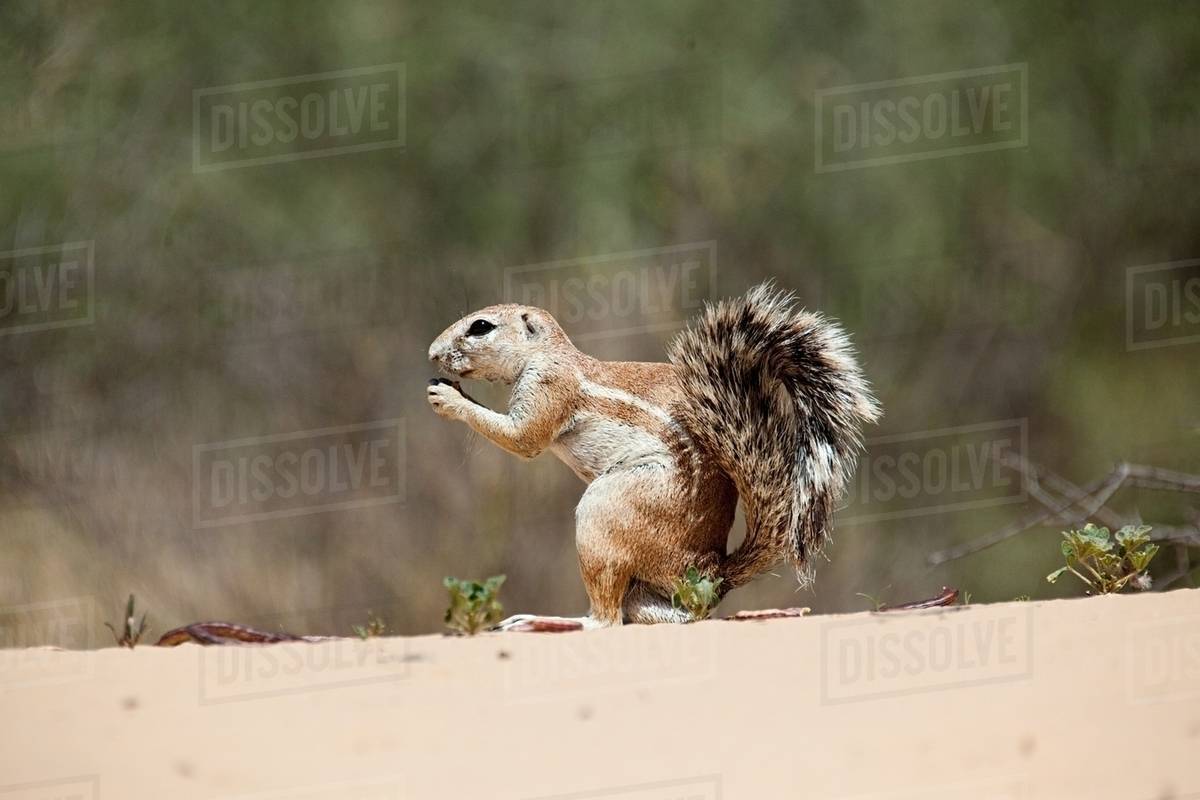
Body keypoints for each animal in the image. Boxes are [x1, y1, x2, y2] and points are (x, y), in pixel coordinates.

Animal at [427, 283, 880, 629]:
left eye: (481, 327)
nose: (432, 353)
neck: (548, 354)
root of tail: (710, 572)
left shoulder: (548, 389)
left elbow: (523, 439)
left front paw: (448, 397)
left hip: (605, 511)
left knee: (606, 621)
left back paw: (545, 621)